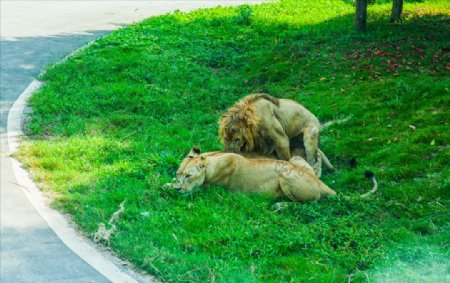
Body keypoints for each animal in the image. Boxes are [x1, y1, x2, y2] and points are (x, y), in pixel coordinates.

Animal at [174, 148, 336, 203]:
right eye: (178, 173)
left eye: (188, 176)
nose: (178, 189)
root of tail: (322, 184)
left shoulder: (212, 189)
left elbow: (194, 189)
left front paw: (171, 187)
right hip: (294, 159)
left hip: (285, 174)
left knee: (305, 202)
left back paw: (280, 205)